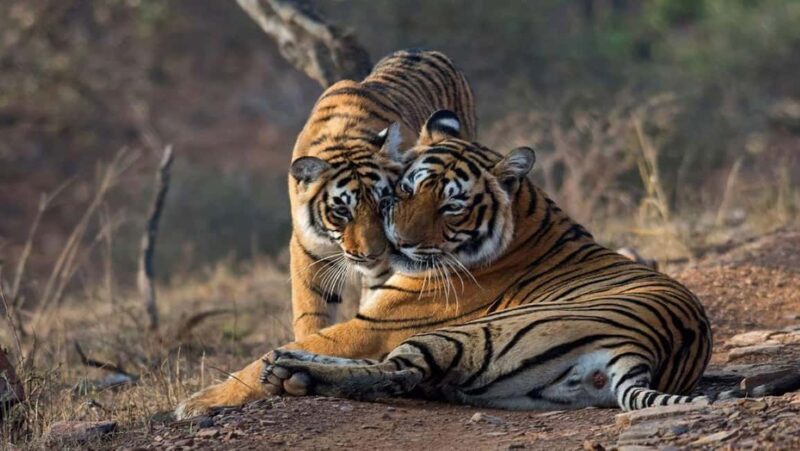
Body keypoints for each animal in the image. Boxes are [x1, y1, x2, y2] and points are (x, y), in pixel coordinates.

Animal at [174, 110, 711, 419]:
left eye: (452, 206)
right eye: (405, 189)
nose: (396, 243)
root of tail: (644, 352)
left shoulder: (380, 321)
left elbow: (300, 345)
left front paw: (195, 403)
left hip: (471, 333)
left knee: (398, 372)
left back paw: (288, 371)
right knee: (404, 375)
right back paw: (291, 371)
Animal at [285, 49, 475, 341]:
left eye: (384, 203)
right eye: (342, 211)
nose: (372, 255)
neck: (342, 138)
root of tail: (423, 51)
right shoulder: (310, 253)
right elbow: (312, 315)